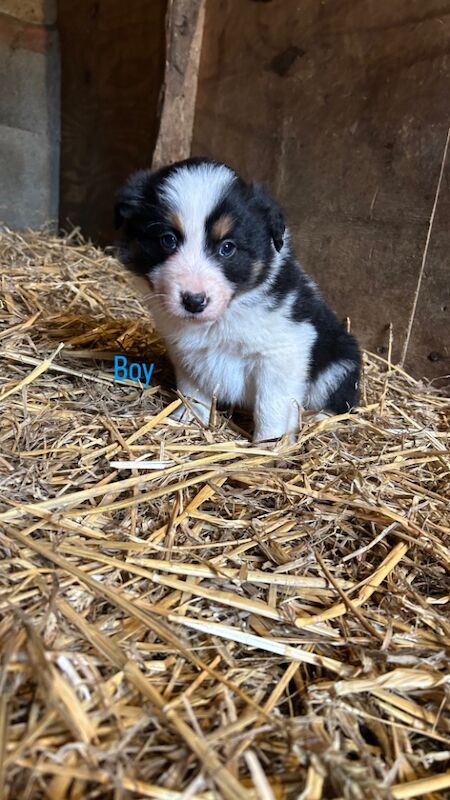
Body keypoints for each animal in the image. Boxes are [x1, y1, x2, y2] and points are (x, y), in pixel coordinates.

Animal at [114, 158, 360, 444]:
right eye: (168, 240)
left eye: (227, 247)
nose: (194, 301)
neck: (224, 315)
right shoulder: (186, 352)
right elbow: (192, 390)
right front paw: (188, 419)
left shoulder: (283, 351)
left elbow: (271, 405)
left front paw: (269, 446)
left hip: (340, 362)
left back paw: (317, 419)